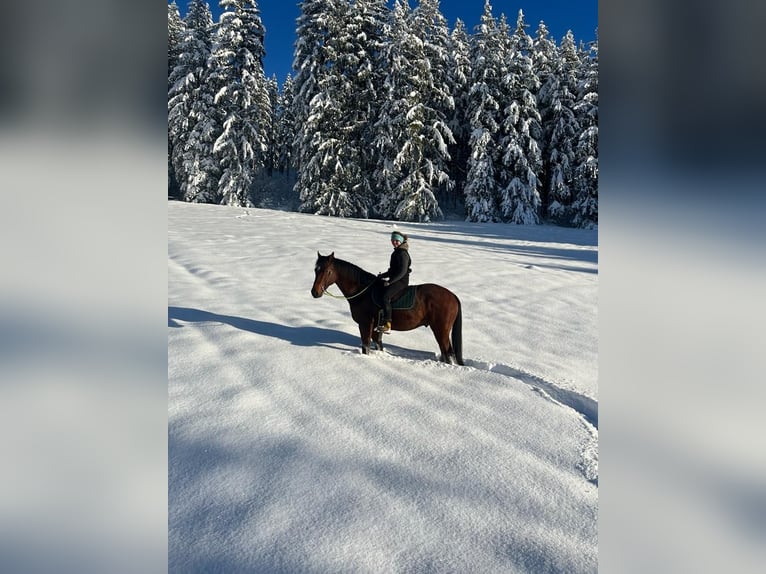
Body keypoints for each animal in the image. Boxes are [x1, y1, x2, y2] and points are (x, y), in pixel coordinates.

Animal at [308, 253, 464, 368]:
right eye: (316, 270)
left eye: (328, 271)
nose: (315, 292)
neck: (363, 291)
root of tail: (453, 296)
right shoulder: (376, 328)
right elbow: (378, 345)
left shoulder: (365, 324)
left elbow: (366, 347)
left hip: (440, 330)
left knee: (447, 352)